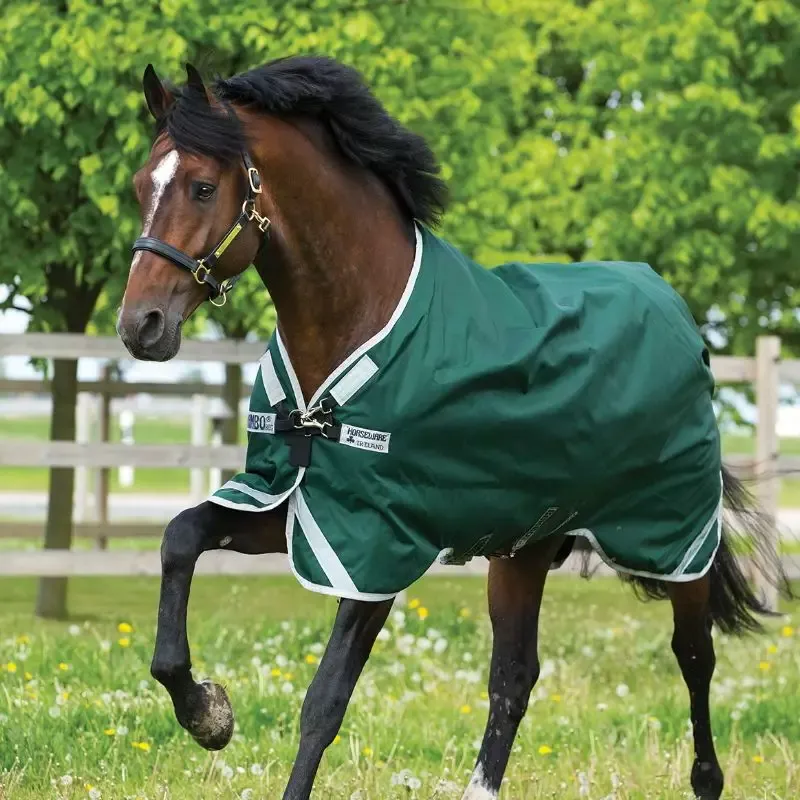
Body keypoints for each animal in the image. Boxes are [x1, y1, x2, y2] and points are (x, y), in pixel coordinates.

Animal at [117, 57, 787, 800]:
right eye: (142, 185)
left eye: (204, 186)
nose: (141, 325)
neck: (360, 315)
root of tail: (676, 313)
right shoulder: (297, 504)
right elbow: (180, 538)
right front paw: (207, 712)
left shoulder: (376, 542)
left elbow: (324, 700)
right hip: (525, 548)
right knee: (514, 677)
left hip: (672, 537)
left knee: (693, 656)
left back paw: (706, 778)